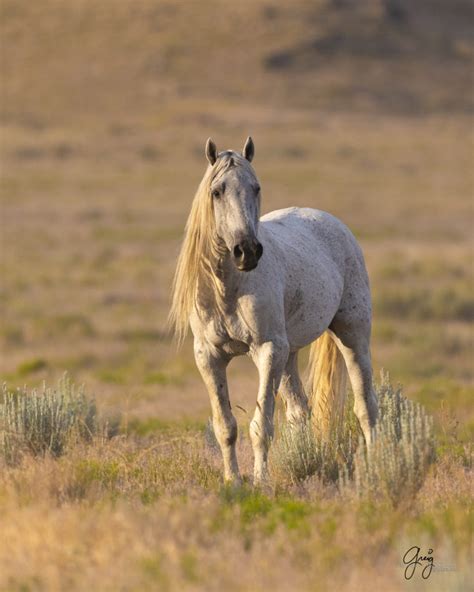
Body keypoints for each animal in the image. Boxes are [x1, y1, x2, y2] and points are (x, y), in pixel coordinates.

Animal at [169, 136, 378, 484]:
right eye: (217, 191)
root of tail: (331, 222)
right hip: (289, 354)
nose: (247, 251)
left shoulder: (267, 349)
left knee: (366, 406)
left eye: (256, 187)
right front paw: (233, 481)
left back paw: (380, 466)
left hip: (351, 335)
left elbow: (261, 426)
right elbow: (225, 426)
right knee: (300, 410)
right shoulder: (209, 357)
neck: (229, 288)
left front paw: (261, 480)